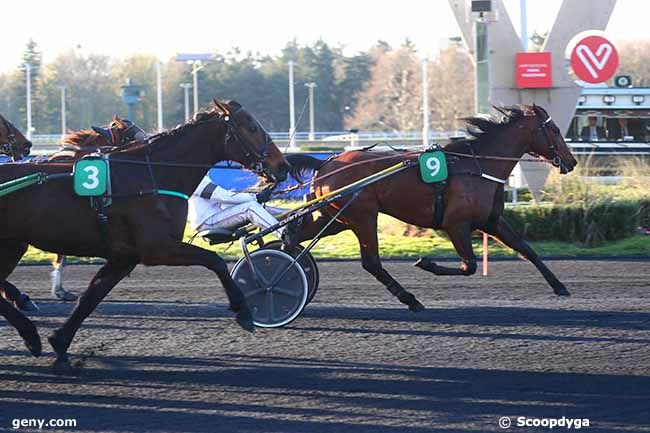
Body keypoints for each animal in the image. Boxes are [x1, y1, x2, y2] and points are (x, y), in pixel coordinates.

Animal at [0, 98, 288, 368]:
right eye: (252, 127)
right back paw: (30, 333)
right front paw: (244, 312)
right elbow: (214, 260)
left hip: (13, 245)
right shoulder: (157, 248)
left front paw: (60, 344)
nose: (283, 166)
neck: (152, 175)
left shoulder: (124, 256)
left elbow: (90, 298)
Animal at [288, 104, 576, 310]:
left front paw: (560, 286)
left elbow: (527, 250)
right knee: (371, 262)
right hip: (363, 217)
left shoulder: (491, 222)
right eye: (555, 130)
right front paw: (425, 262)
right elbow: (469, 266)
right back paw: (410, 299)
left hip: (337, 218)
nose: (571, 161)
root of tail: (325, 163)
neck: (477, 166)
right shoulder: (456, 224)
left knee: (297, 236)